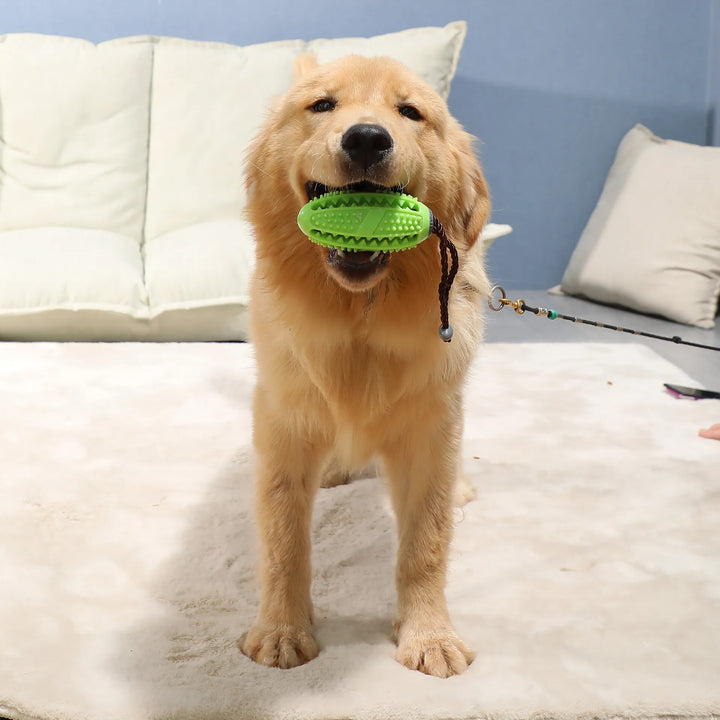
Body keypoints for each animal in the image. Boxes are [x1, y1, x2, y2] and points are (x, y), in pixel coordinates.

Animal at [240, 53, 490, 676]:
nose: (368, 138)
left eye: (411, 112)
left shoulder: (432, 428)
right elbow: (283, 540)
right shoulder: (284, 425)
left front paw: (430, 636)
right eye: (323, 105)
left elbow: (426, 544)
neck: (360, 318)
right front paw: (281, 630)